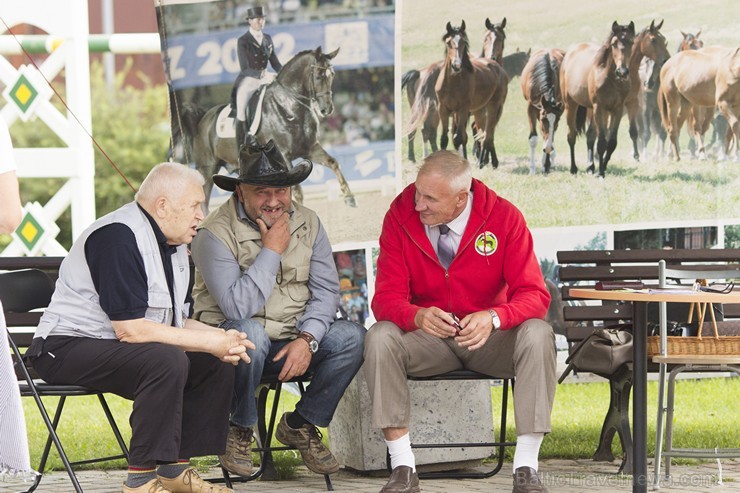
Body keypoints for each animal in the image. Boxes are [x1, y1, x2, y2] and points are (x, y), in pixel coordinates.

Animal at [176, 48, 356, 211]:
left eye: (332, 74)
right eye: (318, 75)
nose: (327, 109)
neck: (289, 107)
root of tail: (202, 119)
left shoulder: (310, 149)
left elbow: (333, 162)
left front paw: (349, 197)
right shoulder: (284, 155)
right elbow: (297, 190)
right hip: (206, 168)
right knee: (204, 200)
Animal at [434, 20, 508, 166]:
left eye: (464, 42)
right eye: (448, 42)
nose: (456, 65)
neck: (452, 82)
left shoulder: (463, 109)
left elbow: (459, 137)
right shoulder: (443, 108)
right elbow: (445, 138)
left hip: (493, 107)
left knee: (487, 133)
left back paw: (486, 161)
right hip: (479, 110)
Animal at [560, 22, 636, 179]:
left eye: (631, 42)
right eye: (614, 44)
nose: (622, 72)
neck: (611, 78)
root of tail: (569, 54)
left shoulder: (617, 109)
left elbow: (611, 142)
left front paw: (603, 167)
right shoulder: (599, 108)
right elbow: (601, 142)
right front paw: (600, 172)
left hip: (593, 109)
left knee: (590, 136)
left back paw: (590, 167)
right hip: (571, 105)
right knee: (571, 136)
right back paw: (573, 169)